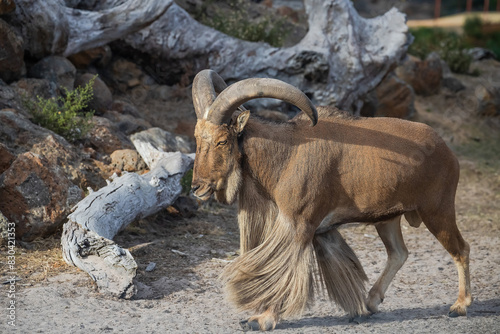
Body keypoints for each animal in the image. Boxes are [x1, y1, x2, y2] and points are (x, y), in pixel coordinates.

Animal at [189, 69, 470, 330]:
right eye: (196, 138)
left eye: (222, 141)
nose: (196, 187)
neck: (286, 155)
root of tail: (446, 150)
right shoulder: (321, 230)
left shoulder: (300, 225)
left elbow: (284, 271)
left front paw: (262, 319)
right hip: (387, 218)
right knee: (399, 253)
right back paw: (370, 302)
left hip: (437, 210)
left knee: (461, 249)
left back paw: (460, 305)